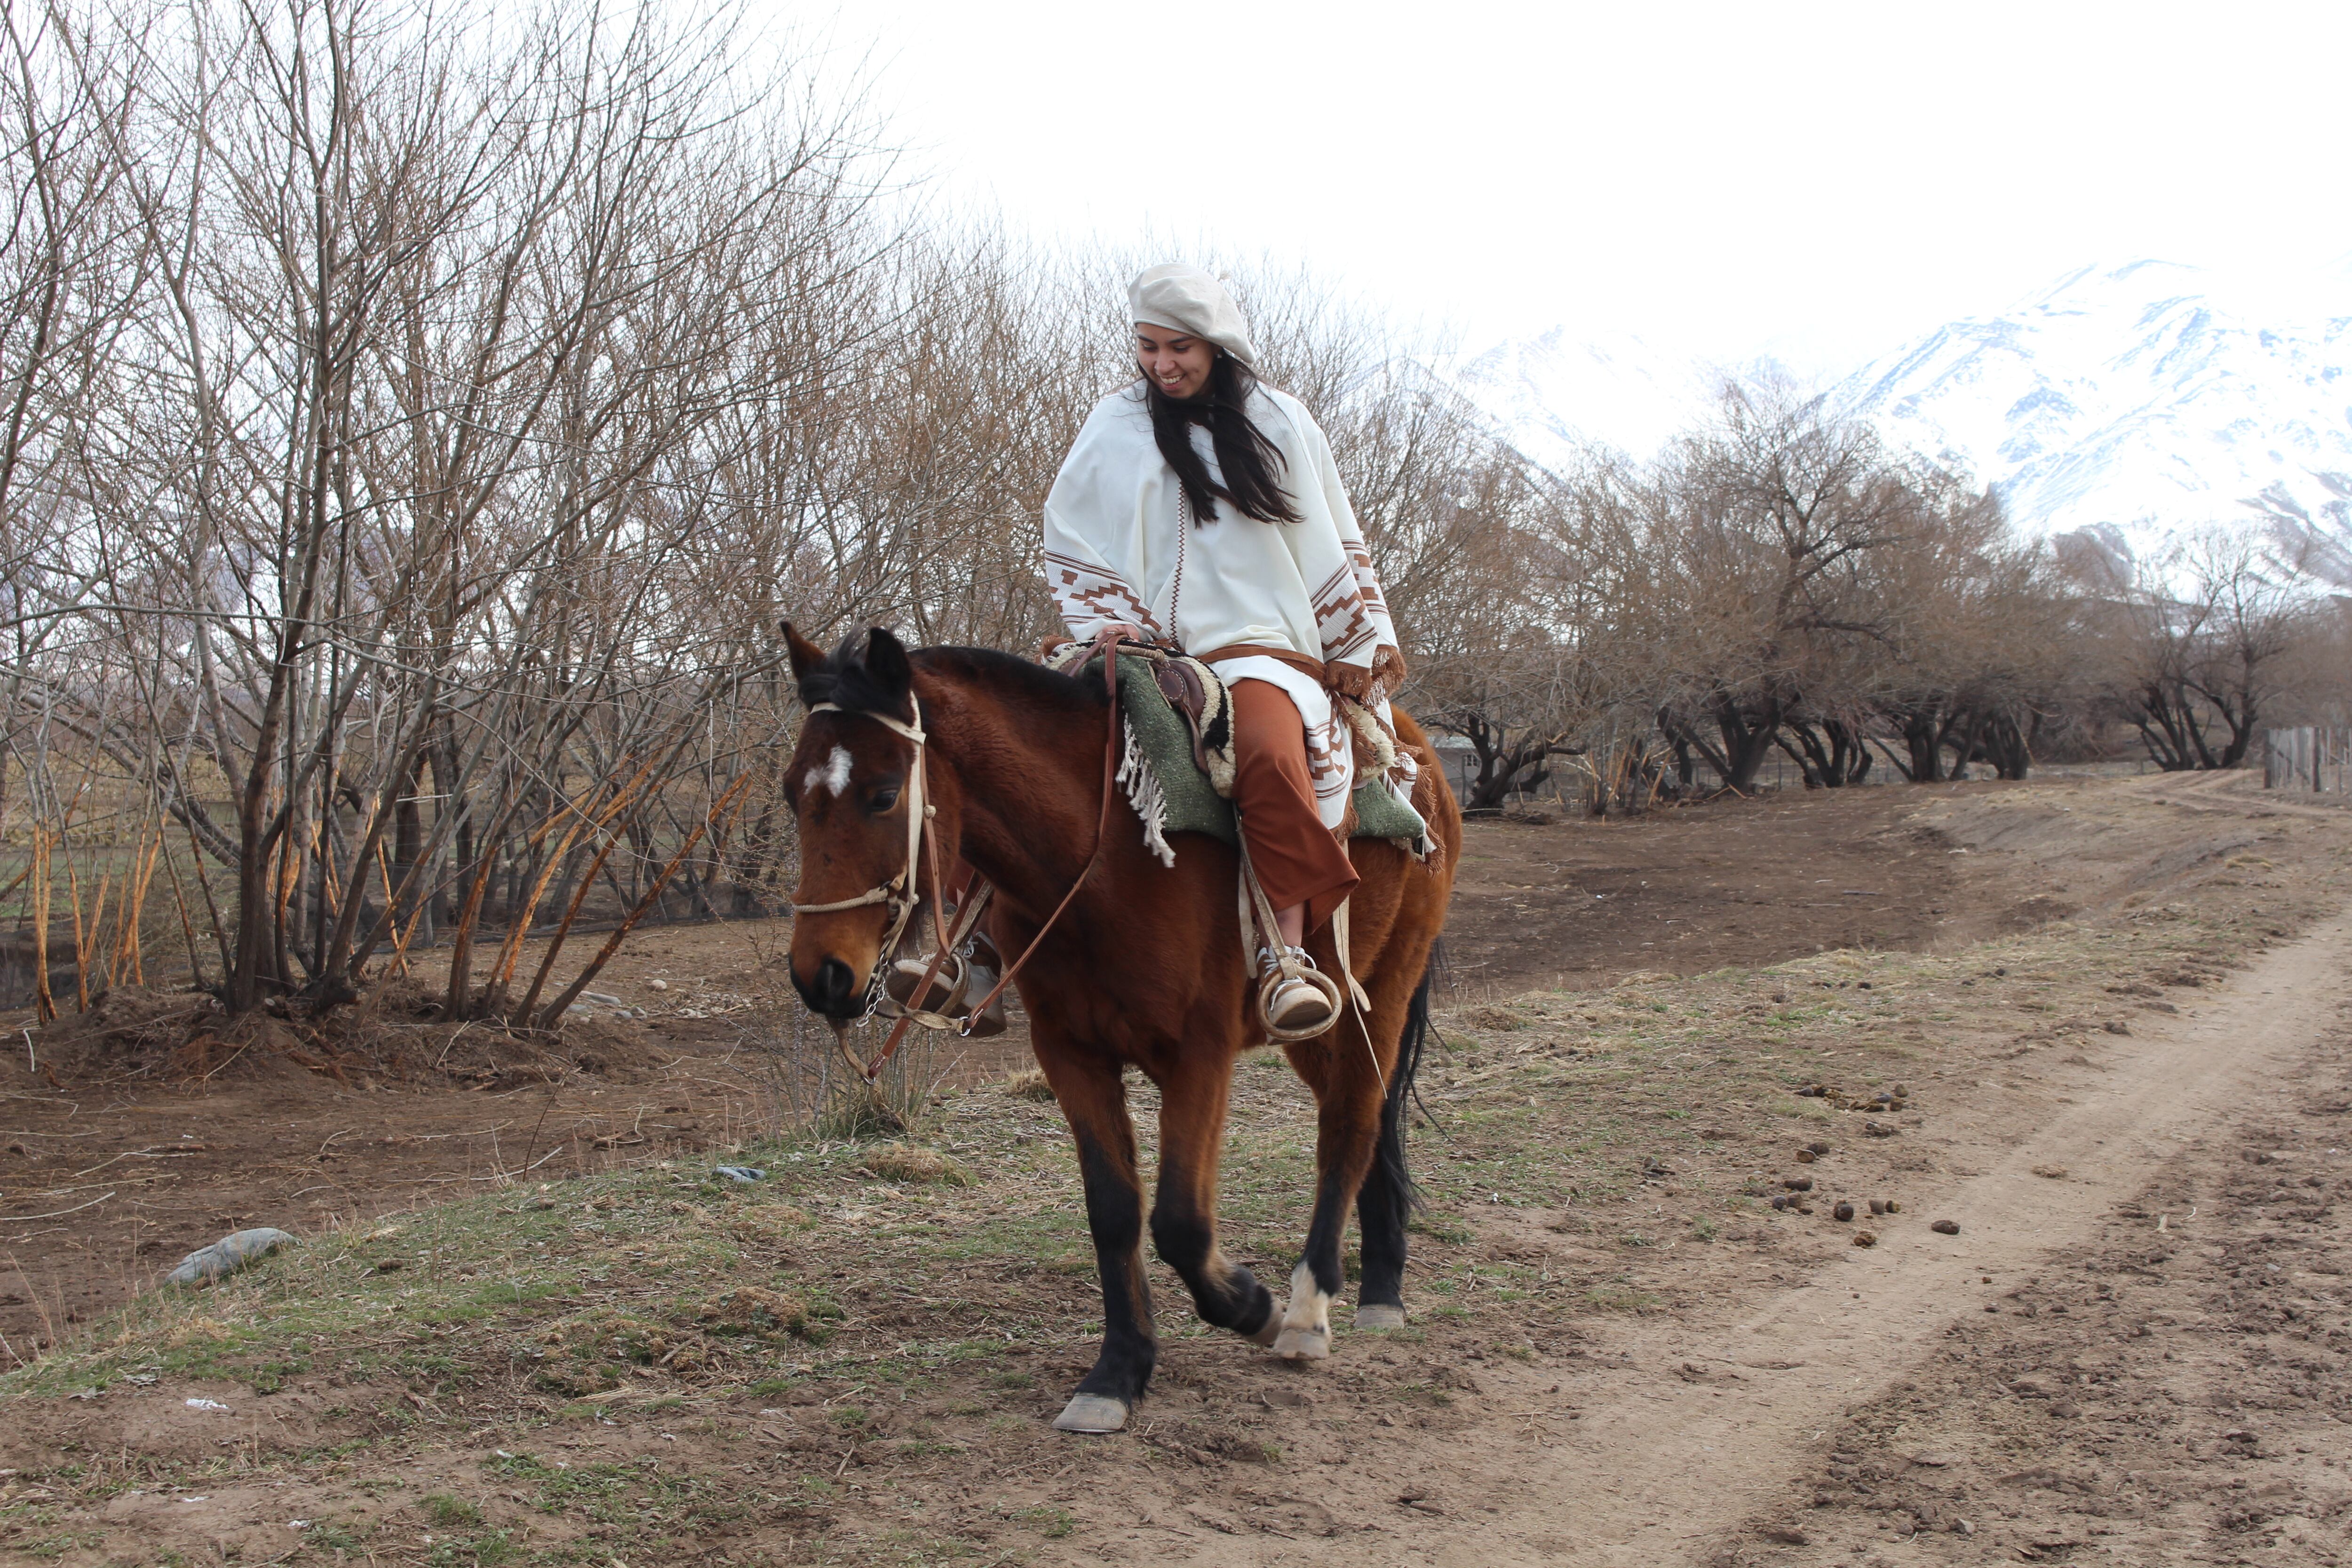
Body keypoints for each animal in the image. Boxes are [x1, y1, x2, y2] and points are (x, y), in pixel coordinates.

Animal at [781, 630, 1458, 1439]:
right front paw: (1118, 1372)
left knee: (1350, 1127)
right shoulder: (1071, 1052)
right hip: (1323, 1028)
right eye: (791, 792)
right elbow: (1114, 1212)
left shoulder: (1199, 1055)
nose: (820, 975)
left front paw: (1251, 1305)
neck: (1102, 856)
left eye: (884, 794)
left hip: (1384, 990)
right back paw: (1381, 1279)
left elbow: (1180, 1223)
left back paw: (1307, 1308)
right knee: (1370, 1114)